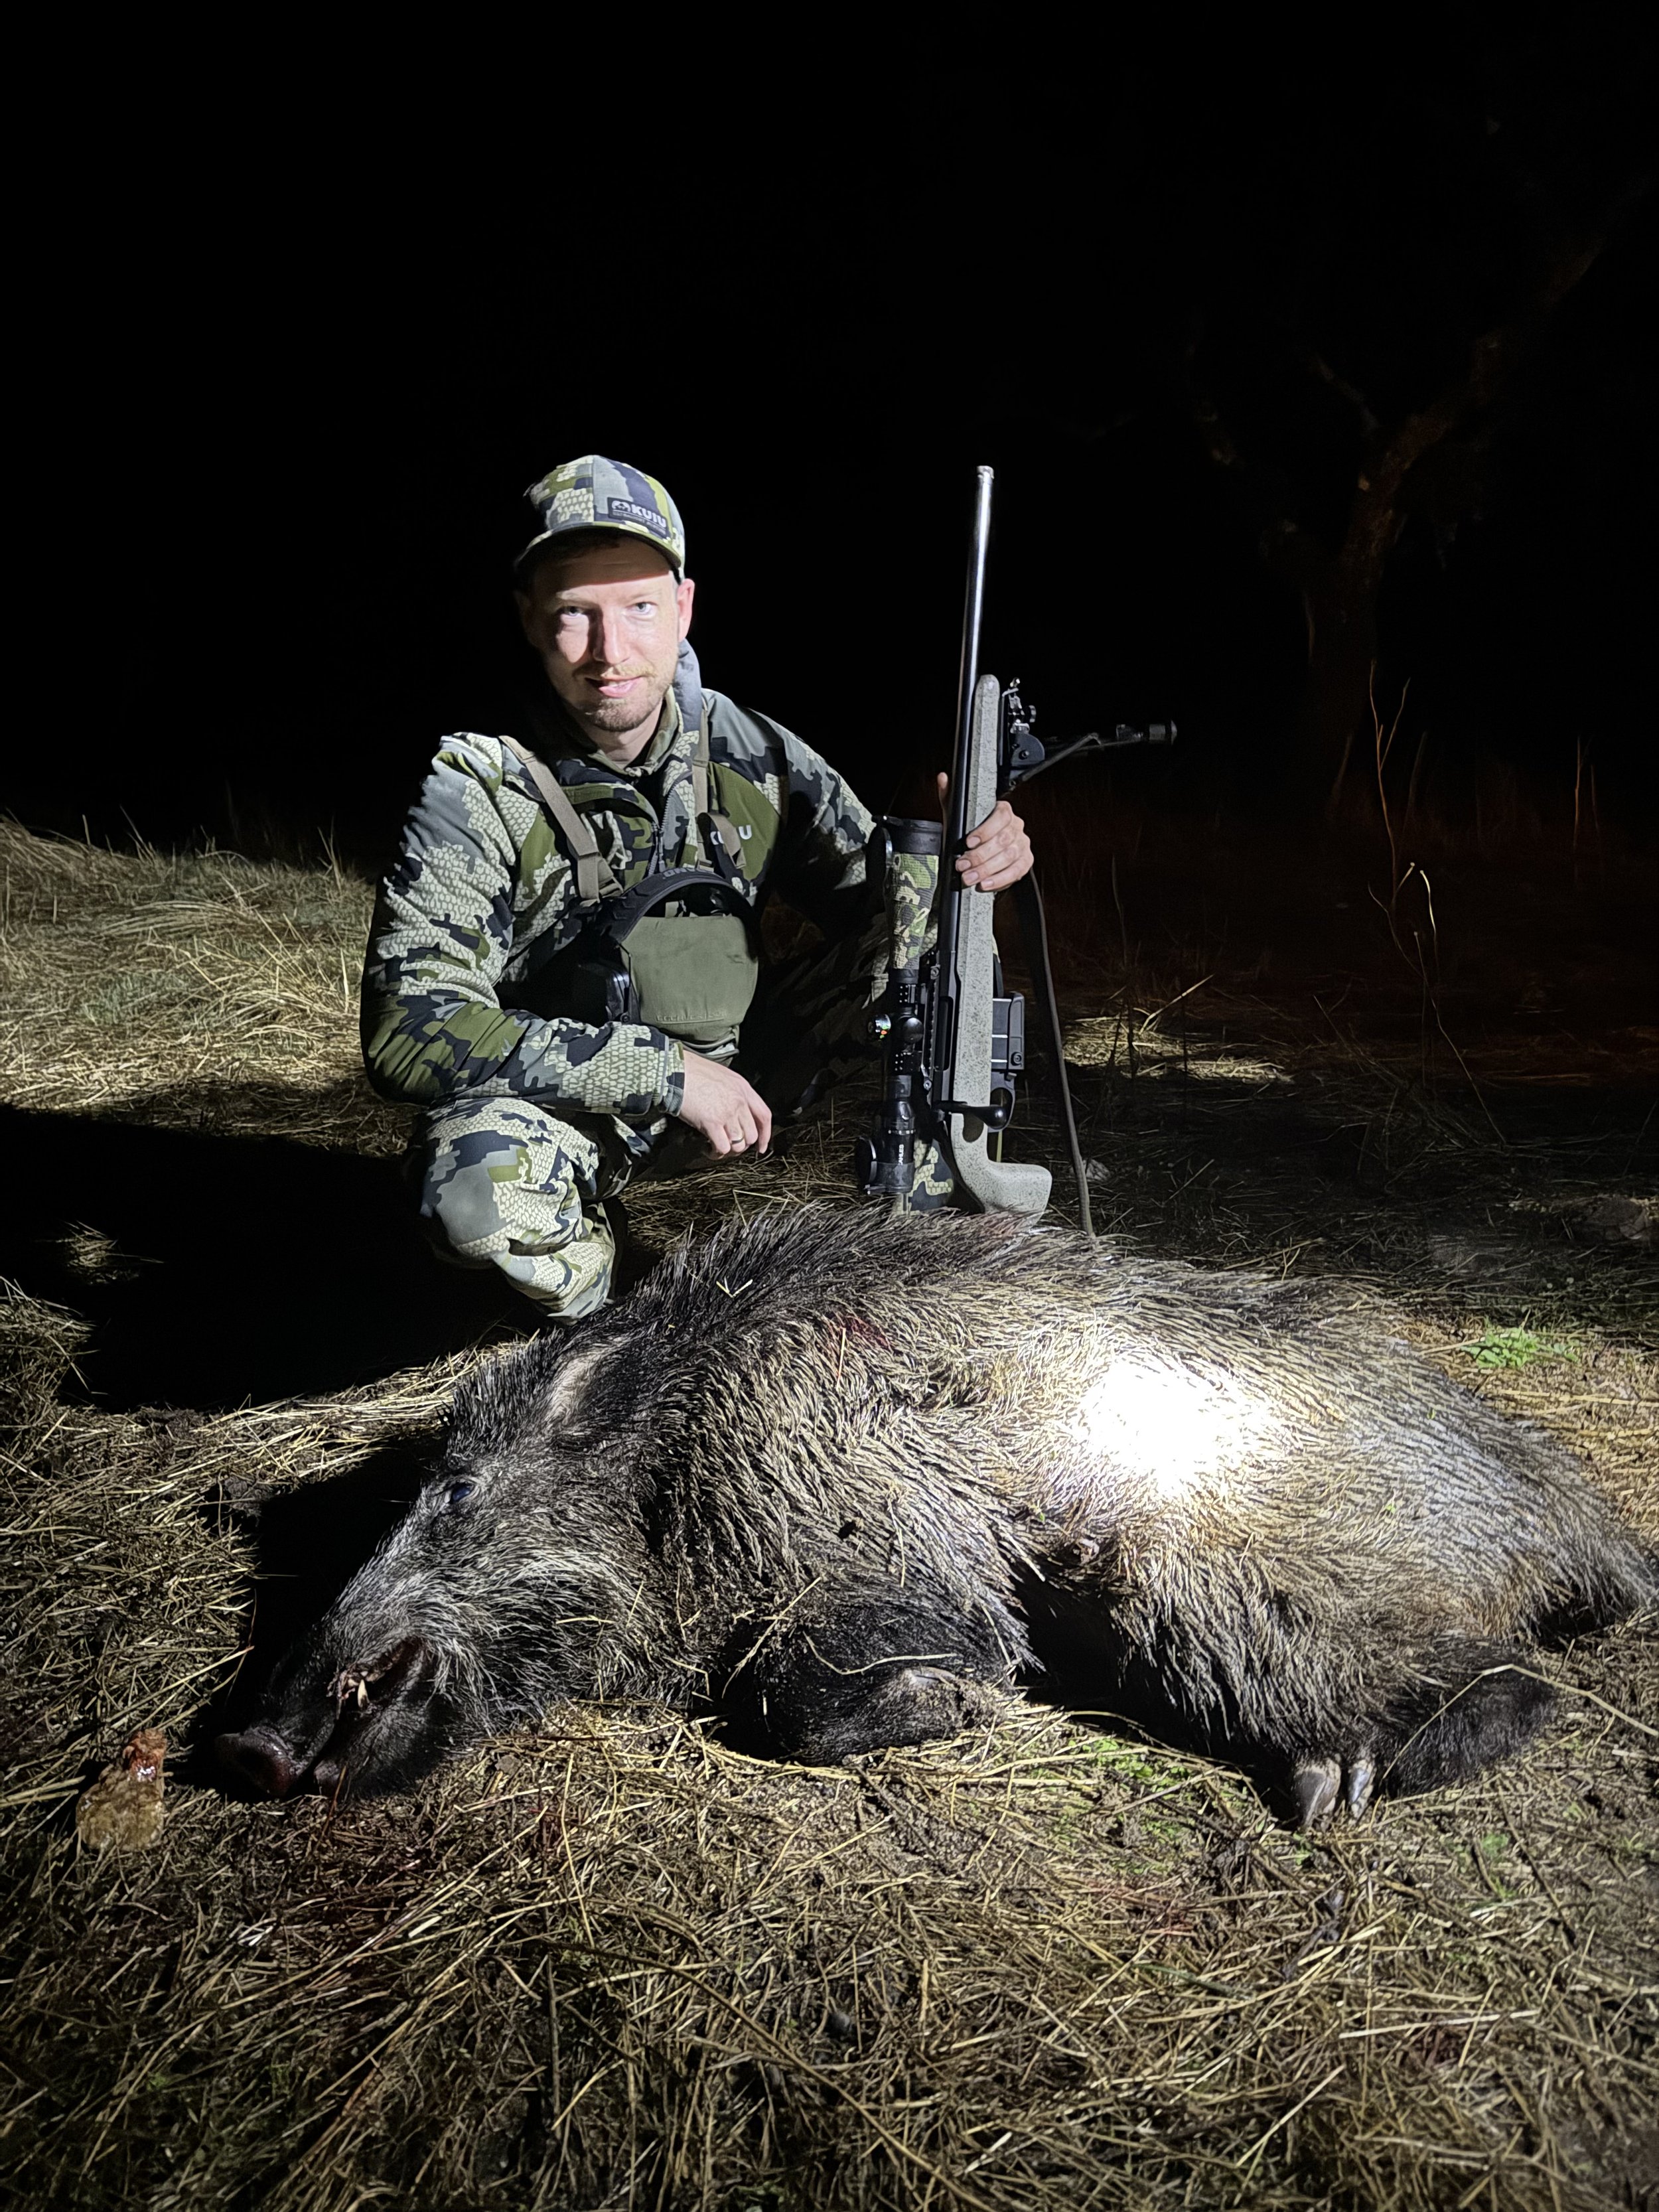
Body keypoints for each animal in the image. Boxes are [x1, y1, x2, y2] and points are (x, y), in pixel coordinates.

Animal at [220, 1205, 1655, 1825]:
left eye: (456, 1492)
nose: (246, 1744)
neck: (680, 1468)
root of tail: (1582, 1517)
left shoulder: (880, 1551)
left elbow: (802, 1704)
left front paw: (970, 1702)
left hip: (1212, 1579)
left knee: (1510, 1690)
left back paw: (1331, 1787)